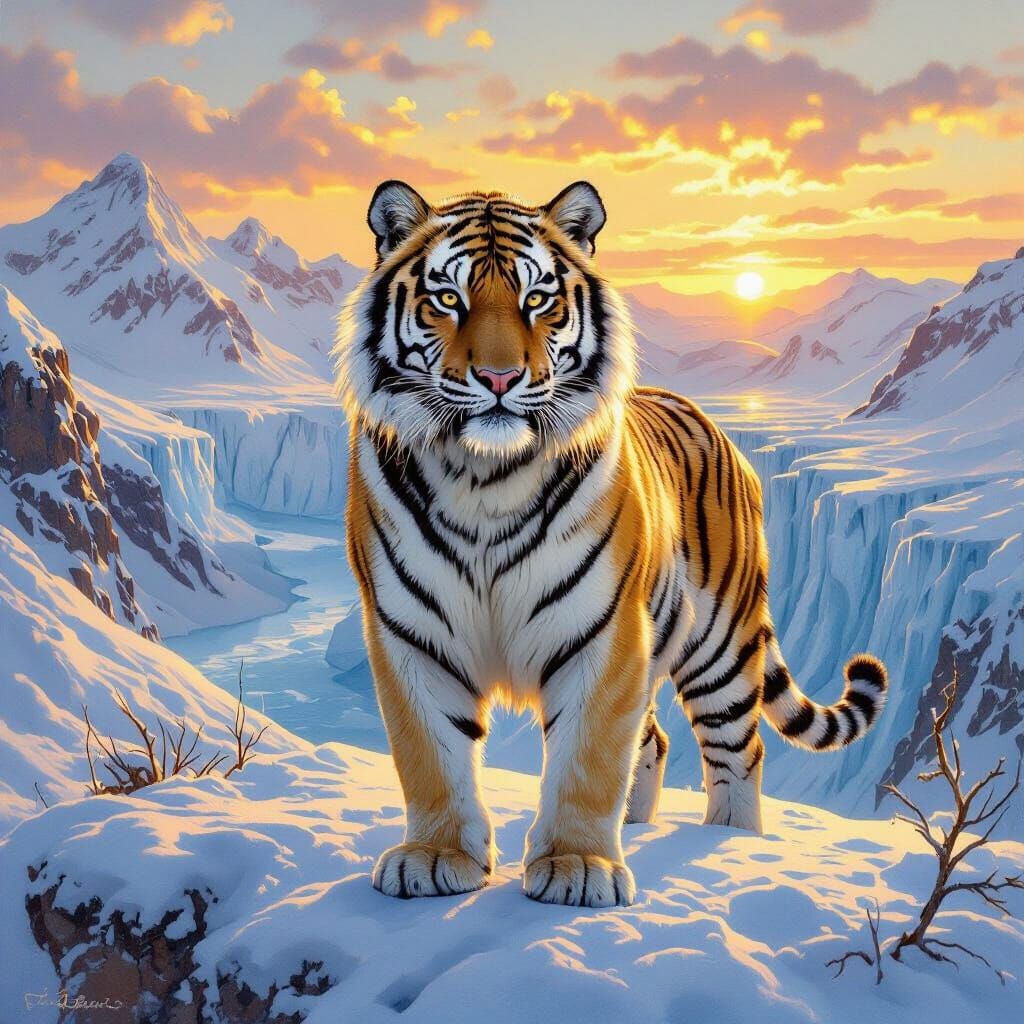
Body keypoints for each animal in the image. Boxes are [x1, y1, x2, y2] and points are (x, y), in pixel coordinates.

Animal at [333, 179, 888, 908]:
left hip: (720, 647)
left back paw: (729, 842)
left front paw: (577, 866)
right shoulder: (411, 633)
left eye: (537, 299)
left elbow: (589, 752)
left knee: (737, 752)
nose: (500, 379)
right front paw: (436, 856)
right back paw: (638, 823)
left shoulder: (602, 631)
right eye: (448, 299)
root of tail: (712, 421)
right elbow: (430, 753)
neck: (485, 478)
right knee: (652, 740)